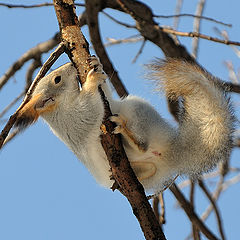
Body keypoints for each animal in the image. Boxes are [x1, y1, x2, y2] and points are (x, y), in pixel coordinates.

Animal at [14, 55, 234, 191]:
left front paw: (97, 64)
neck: (61, 106)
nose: (69, 65)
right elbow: (90, 110)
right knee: (143, 146)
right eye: (57, 79)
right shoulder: (74, 121)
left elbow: (106, 94)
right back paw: (127, 134)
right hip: (136, 108)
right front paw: (91, 81)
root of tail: (171, 154)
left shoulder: (104, 102)